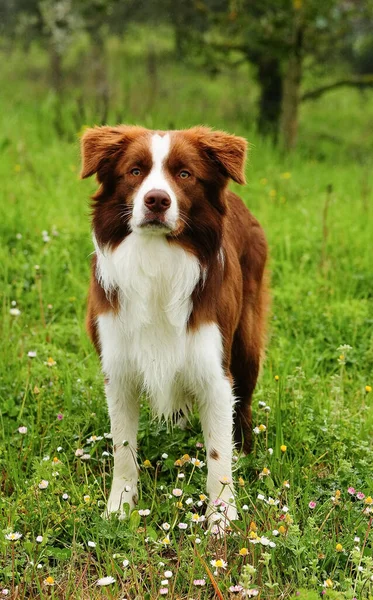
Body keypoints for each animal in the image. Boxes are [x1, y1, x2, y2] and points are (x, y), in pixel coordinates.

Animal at [80, 125, 268, 524]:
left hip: (245, 342)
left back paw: (246, 451)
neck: (157, 258)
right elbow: (123, 447)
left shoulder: (214, 370)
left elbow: (218, 456)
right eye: (134, 171)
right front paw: (120, 508)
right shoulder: (118, 368)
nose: (156, 201)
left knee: (242, 404)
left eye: (184, 174)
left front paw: (221, 519)